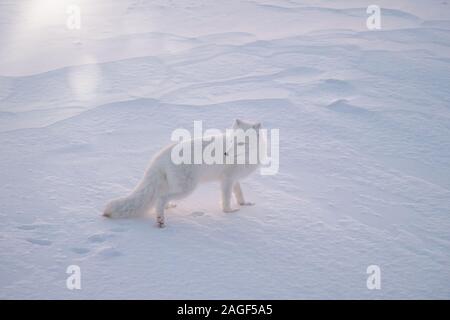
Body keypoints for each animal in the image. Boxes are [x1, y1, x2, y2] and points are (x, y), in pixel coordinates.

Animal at [103, 119, 262, 228]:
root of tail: (160, 156)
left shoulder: (234, 178)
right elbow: (226, 198)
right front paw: (229, 212)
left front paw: (244, 204)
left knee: (161, 198)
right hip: (187, 188)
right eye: (232, 141)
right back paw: (161, 220)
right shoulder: (227, 179)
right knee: (161, 198)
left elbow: (239, 193)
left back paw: (167, 209)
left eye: (241, 143)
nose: (225, 153)